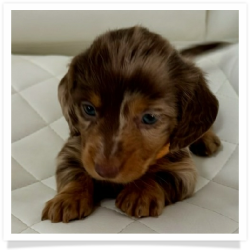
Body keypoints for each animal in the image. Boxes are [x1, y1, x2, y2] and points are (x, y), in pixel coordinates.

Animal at [42, 25, 221, 223]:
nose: (105, 171)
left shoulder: (183, 168)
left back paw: (207, 138)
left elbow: (161, 174)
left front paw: (140, 192)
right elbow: (74, 172)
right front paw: (68, 199)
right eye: (89, 109)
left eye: (149, 118)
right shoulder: (74, 148)